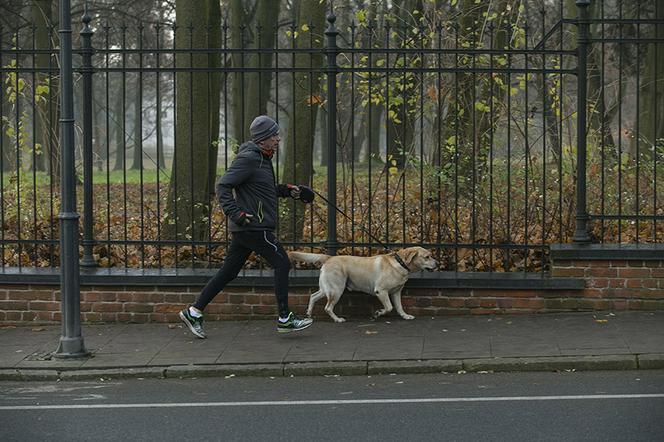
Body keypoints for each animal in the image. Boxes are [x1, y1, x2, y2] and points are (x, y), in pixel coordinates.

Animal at [290, 247, 436, 322]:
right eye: (427, 257)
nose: (437, 263)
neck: (401, 263)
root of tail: (329, 257)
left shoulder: (396, 292)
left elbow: (399, 307)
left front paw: (405, 316)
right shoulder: (381, 291)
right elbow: (389, 307)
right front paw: (378, 313)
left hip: (327, 288)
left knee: (313, 296)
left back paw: (309, 313)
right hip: (337, 289)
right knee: (327, 307)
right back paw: (337, 319)